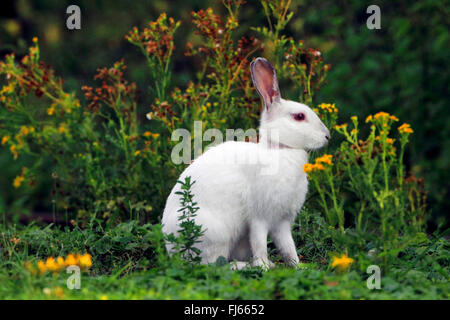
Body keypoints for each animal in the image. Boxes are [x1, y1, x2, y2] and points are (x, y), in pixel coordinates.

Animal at [162, 57, 330, 268]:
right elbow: (259, 244)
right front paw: (264, 266)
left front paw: (297, 265)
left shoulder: (281, 222)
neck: (280, 150)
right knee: (212, 264)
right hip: (216, 234)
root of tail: (171, 248)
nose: (327, 136)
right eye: (299, 116)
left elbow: (287, 246)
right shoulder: (259, 217)